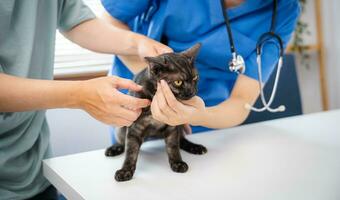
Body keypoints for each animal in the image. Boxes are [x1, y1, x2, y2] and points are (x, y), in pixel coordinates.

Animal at [105, 43, 207, 181]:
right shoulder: (134, 128)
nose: (192, 92)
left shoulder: (172, 126)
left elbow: (173, 146)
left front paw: (177, 162)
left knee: (181, 140)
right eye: (178, 82)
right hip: (121, 127)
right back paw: (115, 148)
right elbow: (131, 151)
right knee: (122, 141)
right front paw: (125, 170)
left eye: (195, 77)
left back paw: (195, 147)